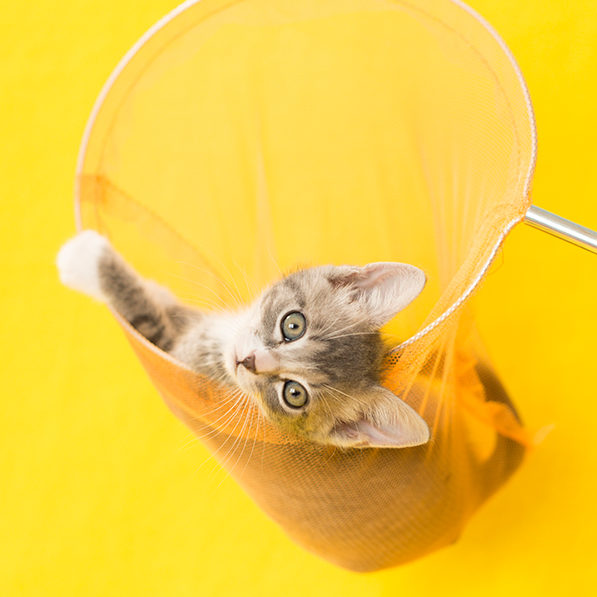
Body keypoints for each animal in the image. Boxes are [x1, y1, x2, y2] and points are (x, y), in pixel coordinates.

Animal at [57, 230, 428, 450]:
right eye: (293, 324)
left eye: (294, 394)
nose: (249, 361)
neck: (222, 341)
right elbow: (164, 301)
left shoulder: (178, 349)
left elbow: (144, 312)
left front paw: (84, 258)